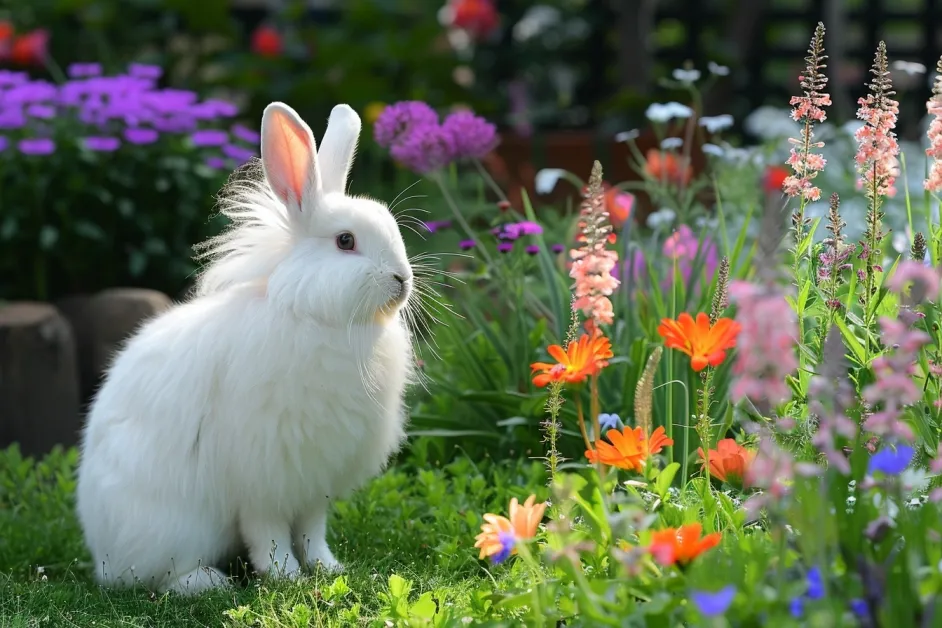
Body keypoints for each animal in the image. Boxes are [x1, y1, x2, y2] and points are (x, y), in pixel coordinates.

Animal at [74, 102, 412, 592]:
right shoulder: (263, 477)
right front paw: (286, 577)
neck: (316, 317)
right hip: (175, 529)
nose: (402, 280)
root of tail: (102, 557)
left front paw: (328, 569)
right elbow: (267, 534)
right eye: (345, 241)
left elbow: (312, 531)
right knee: (160, 577)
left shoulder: (315, 482)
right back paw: (208, 582)